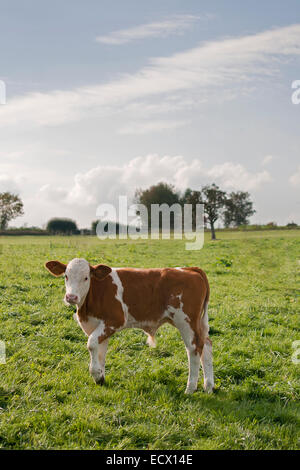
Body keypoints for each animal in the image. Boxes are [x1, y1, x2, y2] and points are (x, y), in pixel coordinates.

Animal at [44, 258, 213, 392]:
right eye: (66, 276)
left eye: (86, 278)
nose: (71, 297)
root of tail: (189, 269)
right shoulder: (99, 326)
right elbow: (100, 352)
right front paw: (100, 377)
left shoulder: (115, 320)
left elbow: (91, 344)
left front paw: (96, 374)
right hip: (197, 323)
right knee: (206, 344)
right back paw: (209, 386)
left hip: (185, 321)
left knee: (194, 348)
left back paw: (190, 388)